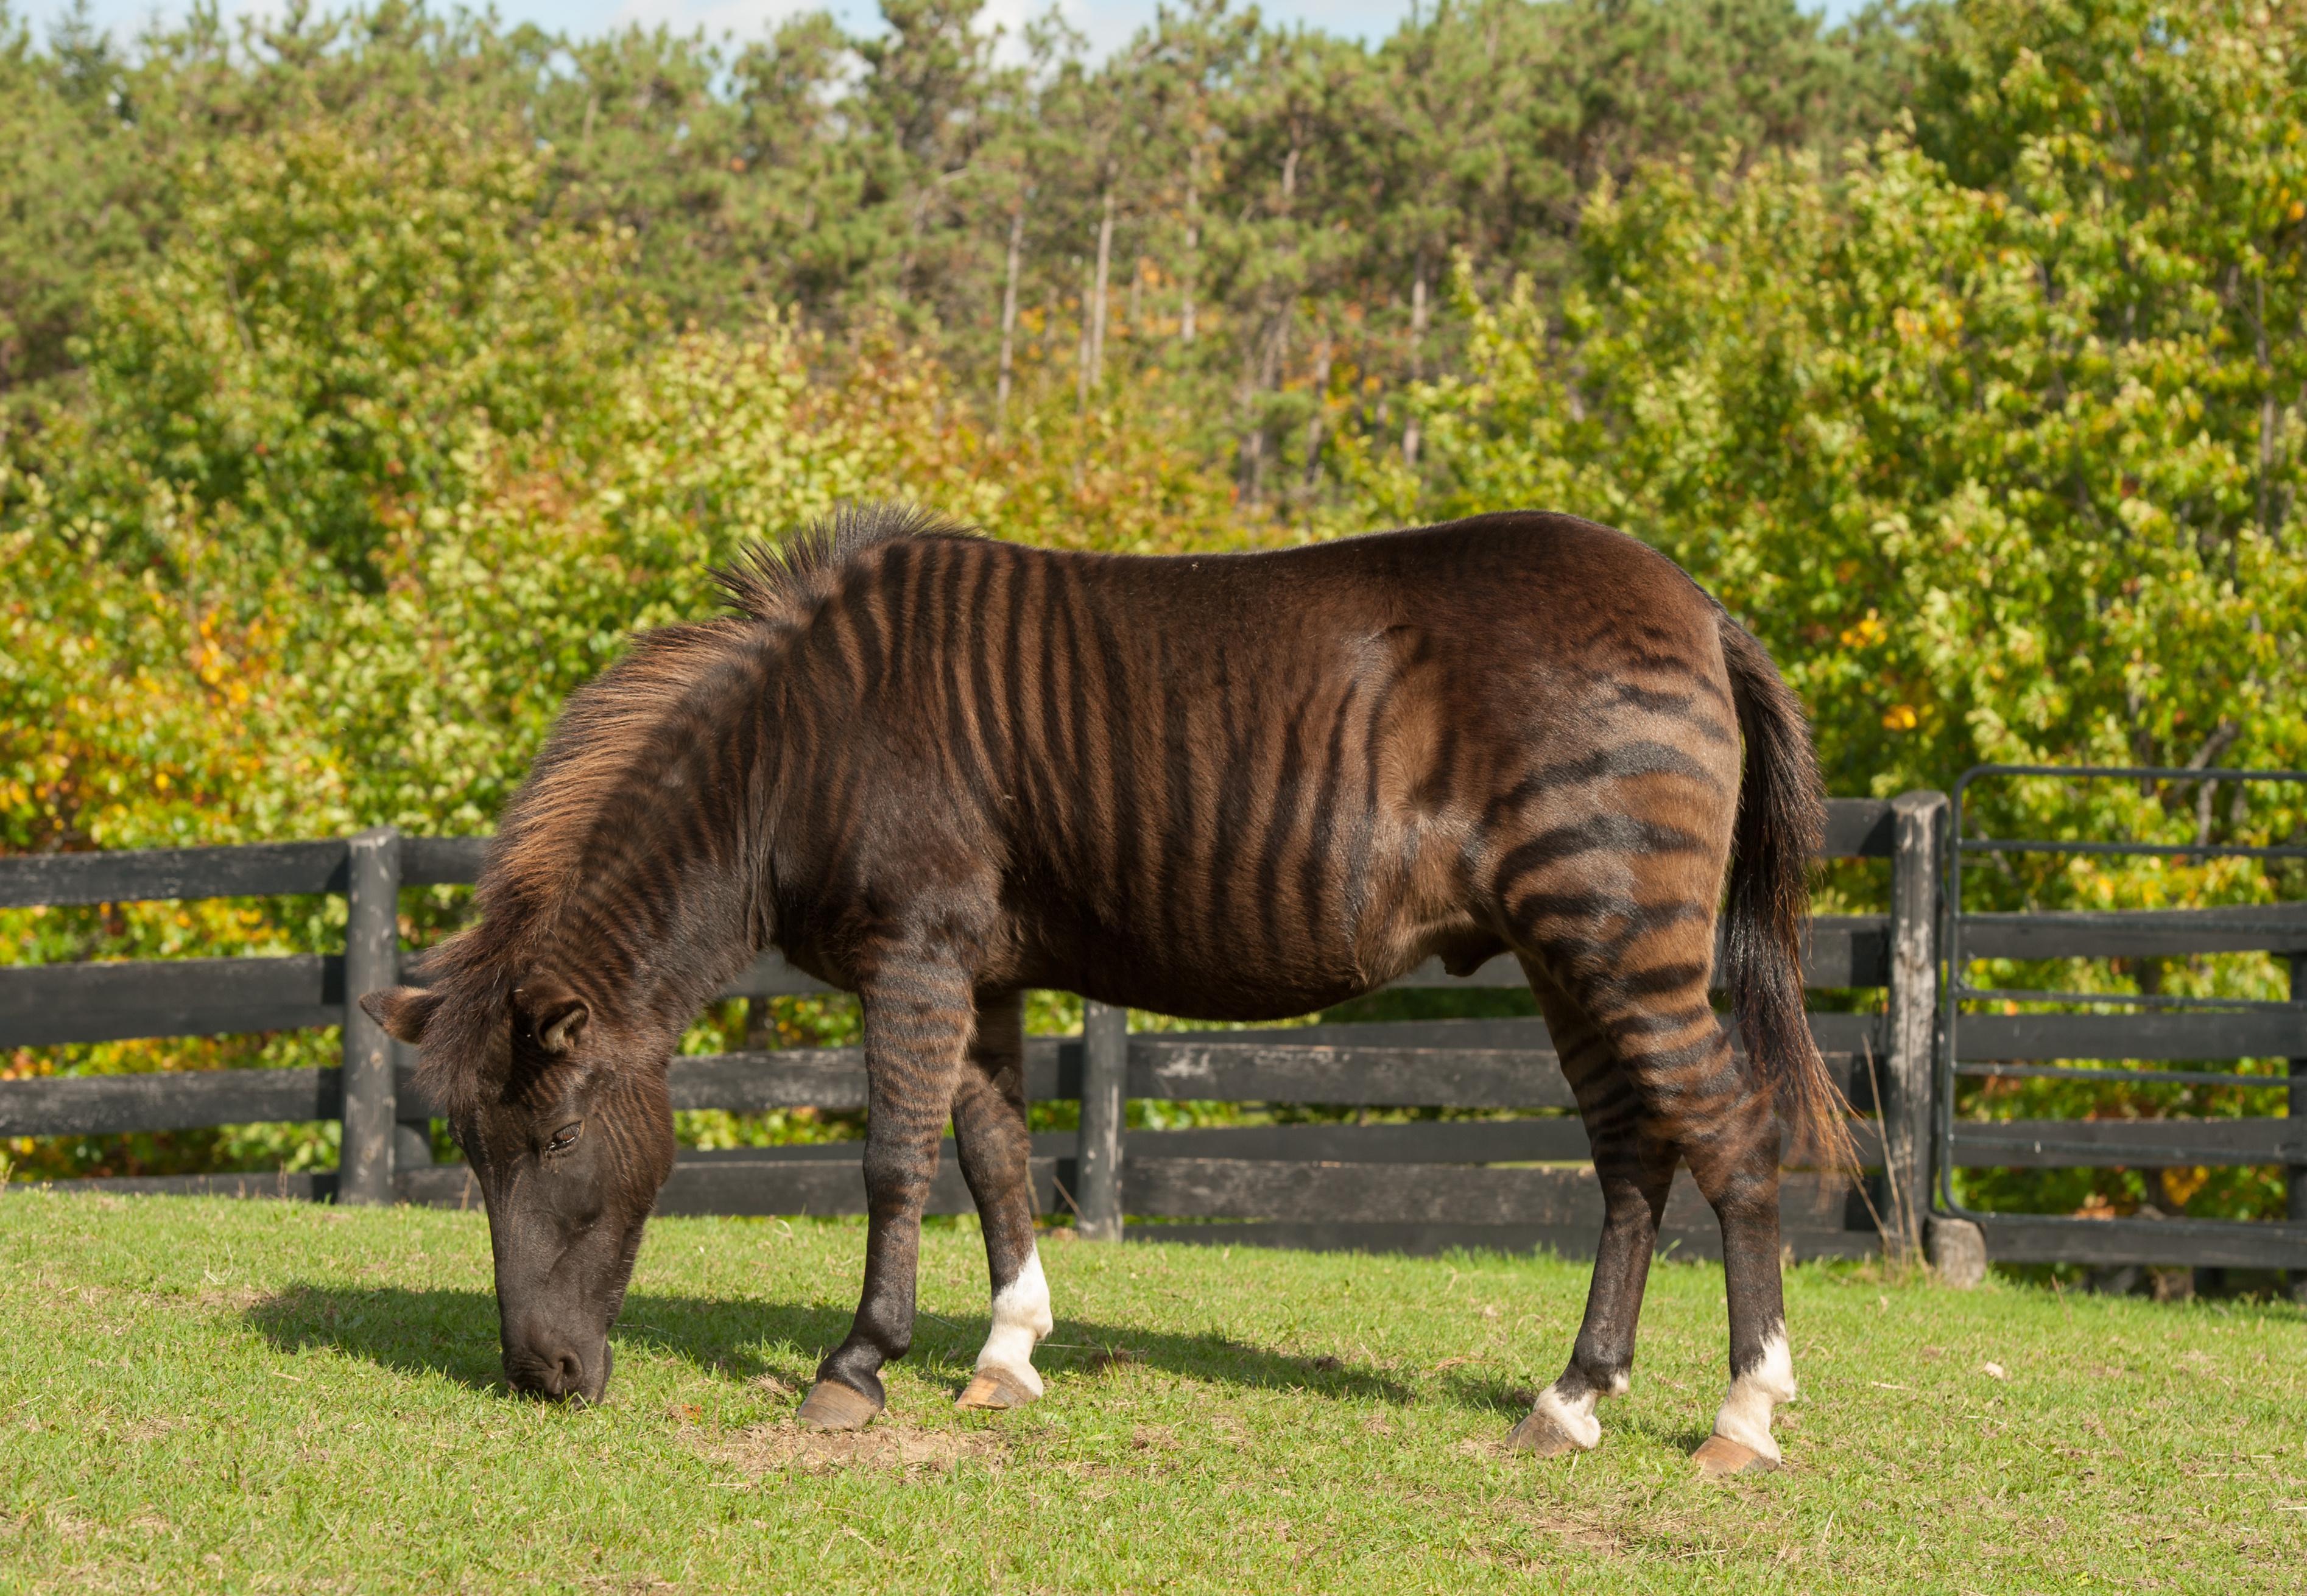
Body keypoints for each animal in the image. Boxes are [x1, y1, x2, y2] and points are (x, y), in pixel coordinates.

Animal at [360, 503, 1847, 1477]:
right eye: (468, 1155)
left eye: (558, 1135)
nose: (540, 1382)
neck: (797, 749)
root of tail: (1698, 606)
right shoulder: (980, 967)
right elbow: (993, 1155)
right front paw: (1004, 1355)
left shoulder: (913, 951)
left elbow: (896, 1159)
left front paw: (855, 1368)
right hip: (1564, 948)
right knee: (1633, 1154)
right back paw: (1573, 1397)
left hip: (1615, 928)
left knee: (1732, 1135)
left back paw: (1744, 1415)